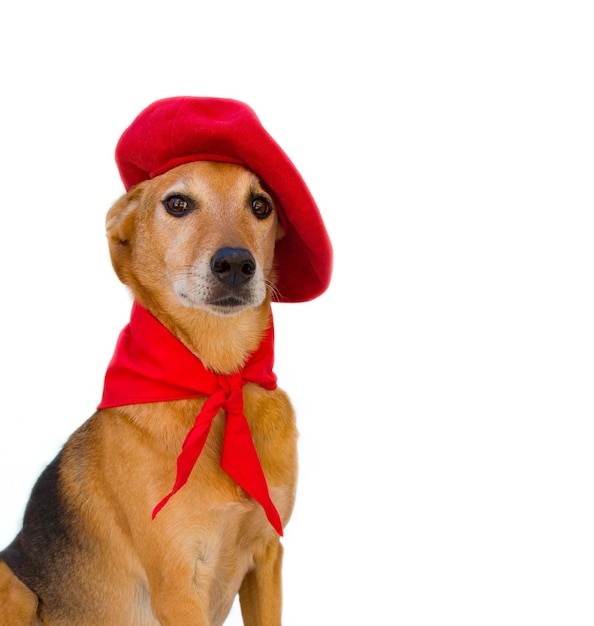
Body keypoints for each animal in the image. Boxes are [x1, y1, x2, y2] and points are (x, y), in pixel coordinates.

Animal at [0, 160, 298, 620]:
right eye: (177, 204)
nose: (235, 263)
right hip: (15, 586)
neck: (215, 375)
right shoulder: (177, 585)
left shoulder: (268, 555)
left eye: (261, 205)